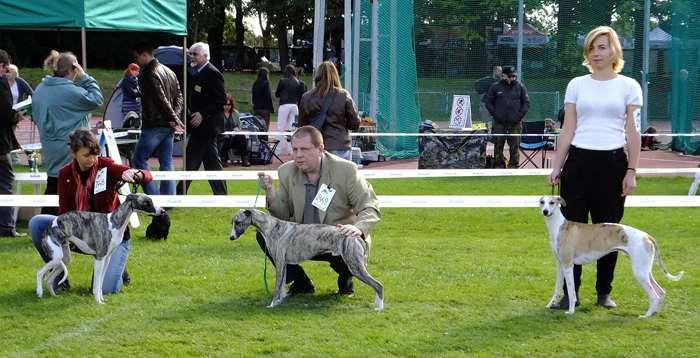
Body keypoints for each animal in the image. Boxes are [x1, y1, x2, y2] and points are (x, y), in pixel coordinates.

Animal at [228, 208, 382, 312]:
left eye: (238, 222)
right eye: (232, 222)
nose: (231, 237)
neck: (272, 227)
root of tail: (356, 237)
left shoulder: (279, 262)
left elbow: (277, 288)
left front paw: (272, 304)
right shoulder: (284, 264)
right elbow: (282, 287)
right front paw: (280, 302)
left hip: (355, 265)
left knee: (378, 285)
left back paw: (379, 308)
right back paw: (375, 304)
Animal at [540, 194, 684, 318]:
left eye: (552, 202)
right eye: (542, 202)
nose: (545, 212)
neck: (560, 227)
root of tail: (646, 236)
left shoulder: (568, 265)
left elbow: (571, 292)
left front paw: (571, 311)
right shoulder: (560, 263)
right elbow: (558, 289)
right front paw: (550, 305)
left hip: (639, 271)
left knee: (654, 296)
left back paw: (646, 316)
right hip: (645, 270)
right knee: (661, 292)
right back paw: (654, 313)